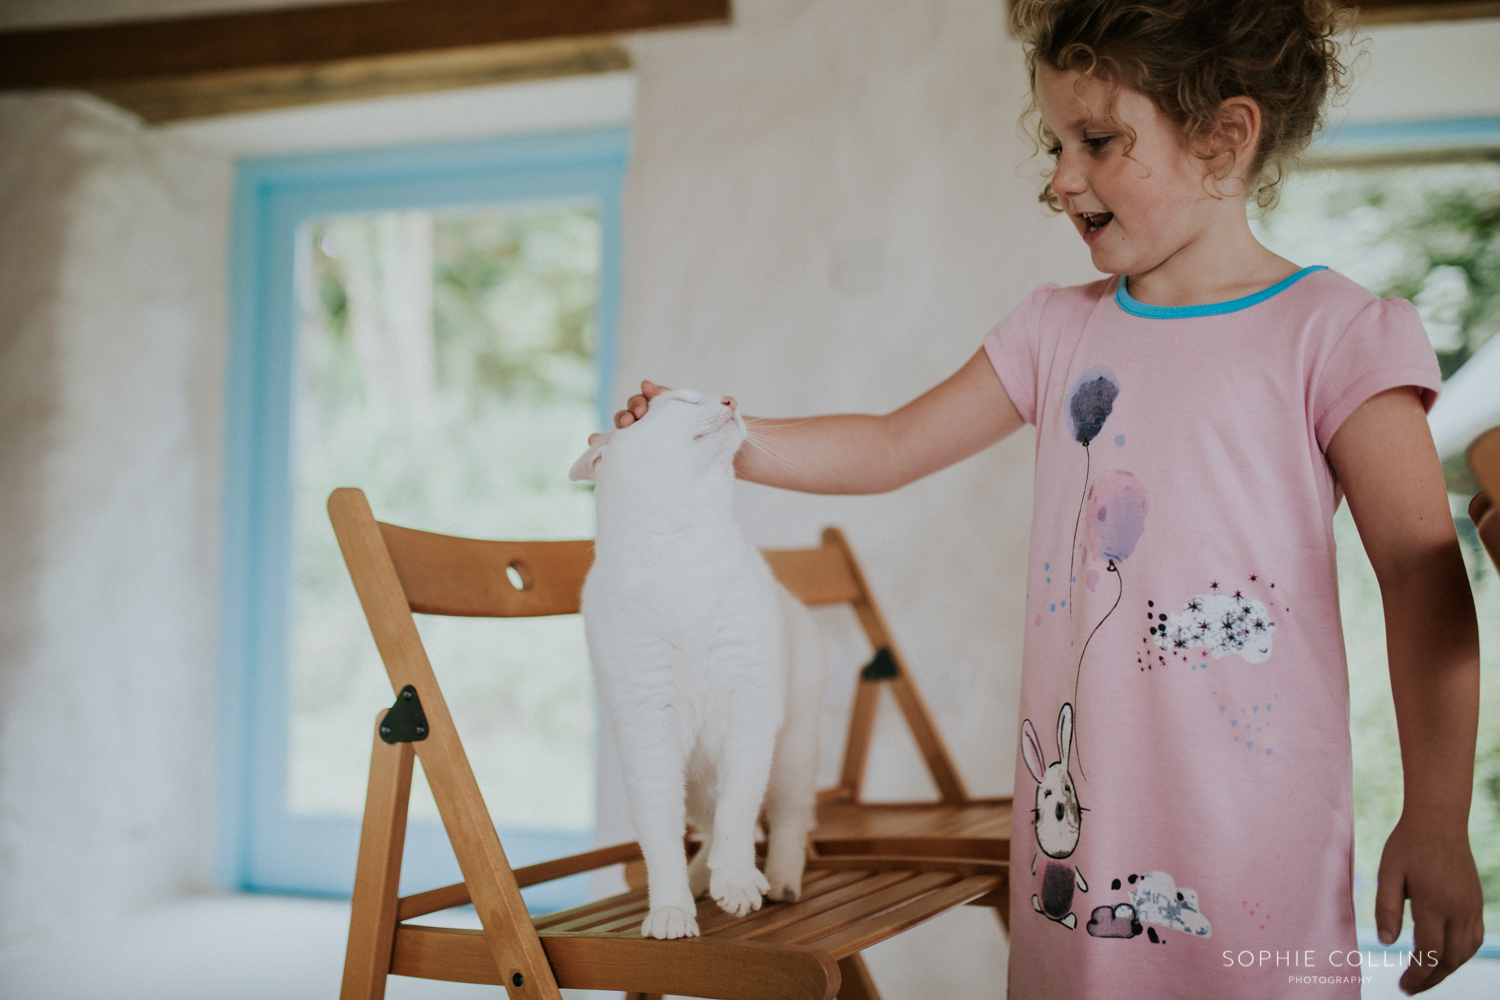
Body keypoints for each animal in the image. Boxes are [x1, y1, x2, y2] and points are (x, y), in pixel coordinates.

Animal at [570, 389, 828, 941]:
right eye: (682, 400)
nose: (730, 399)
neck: (681, 550)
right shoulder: (648, 727)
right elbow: (660, 834)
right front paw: (671, 907)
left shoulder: (749, 709)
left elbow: (739, 812)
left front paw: (738, 880)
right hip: (695, 781)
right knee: (706, 828)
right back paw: (698, 880)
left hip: (793, 753)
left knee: (786, 820)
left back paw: (778, 881)